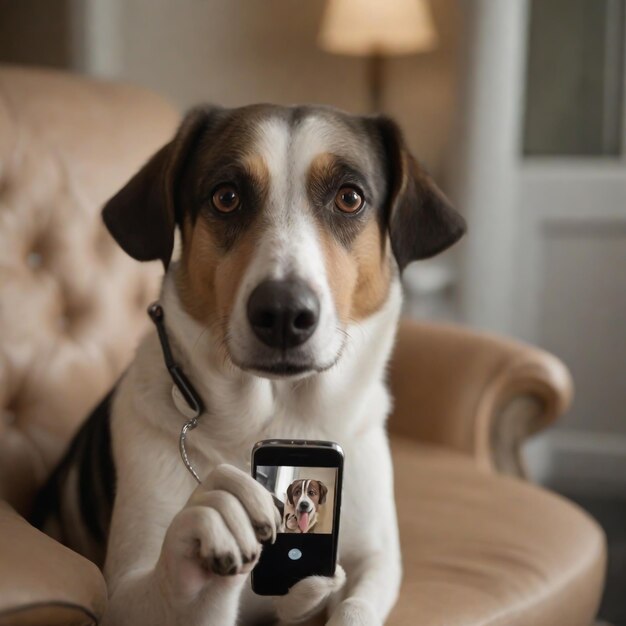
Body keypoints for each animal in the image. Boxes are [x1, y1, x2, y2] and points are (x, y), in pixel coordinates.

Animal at [34, 103, 464, 624]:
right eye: (226, 197)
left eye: (349, 198)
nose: (282, 314)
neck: (281, 413)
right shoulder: (123, 588)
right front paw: (209, 536)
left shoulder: (378, 560)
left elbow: (354, 605)